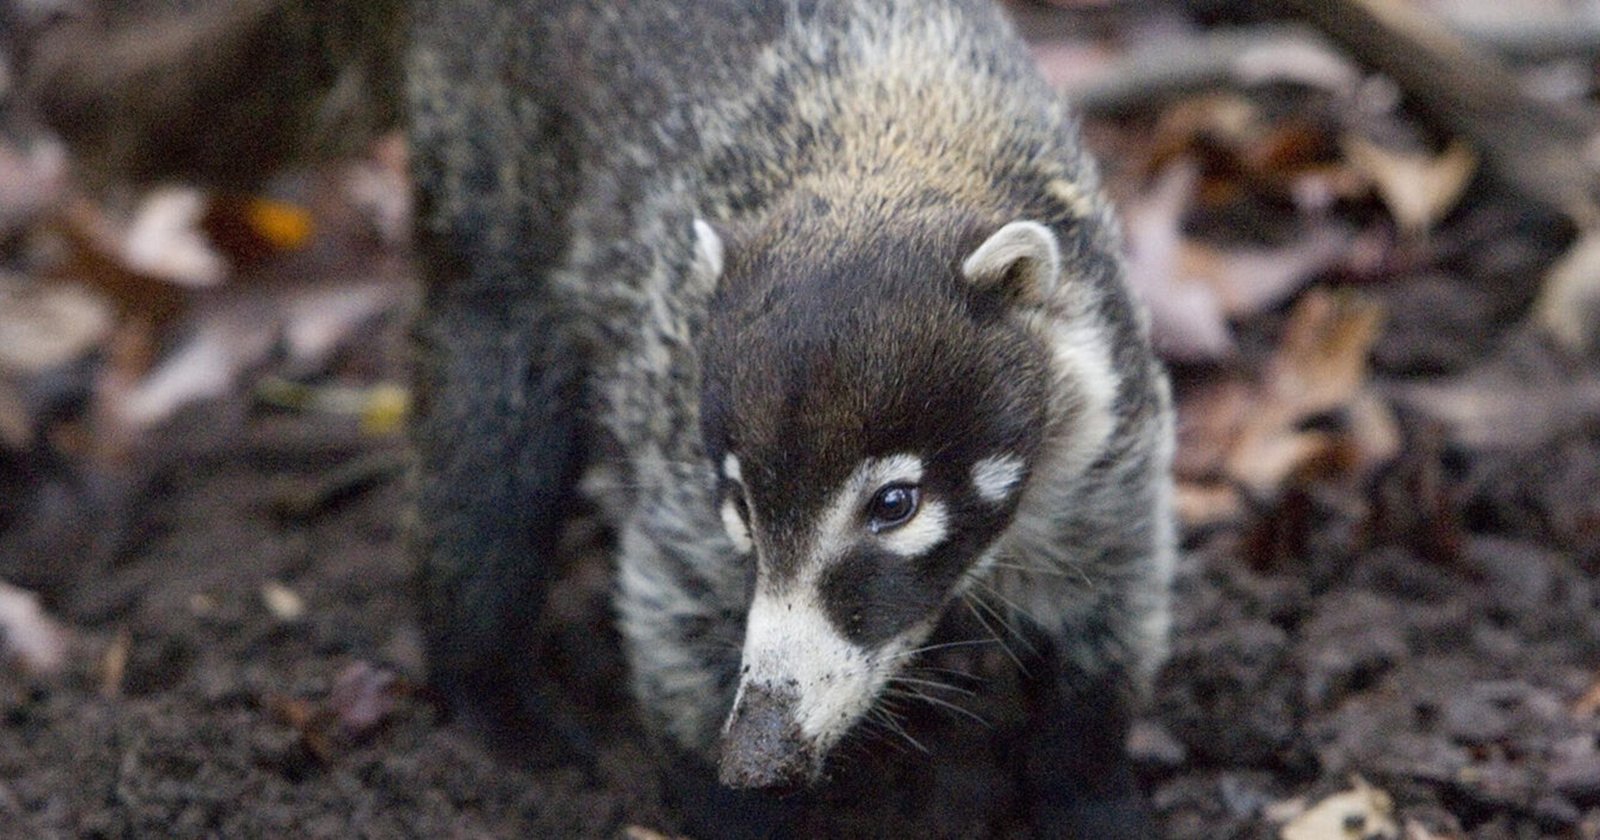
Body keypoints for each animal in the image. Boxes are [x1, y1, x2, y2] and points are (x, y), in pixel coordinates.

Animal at [406, 0, 1175, 836]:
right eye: (742, 506)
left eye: (894, 505)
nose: (756, 755)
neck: (883, 159)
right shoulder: (674, 437)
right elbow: (676, 612)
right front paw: (729, 801)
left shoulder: (1107, 428)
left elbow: (1110, 598)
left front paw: (1090, 782)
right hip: (489, 182)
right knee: (490, 447)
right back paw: (488, 683)